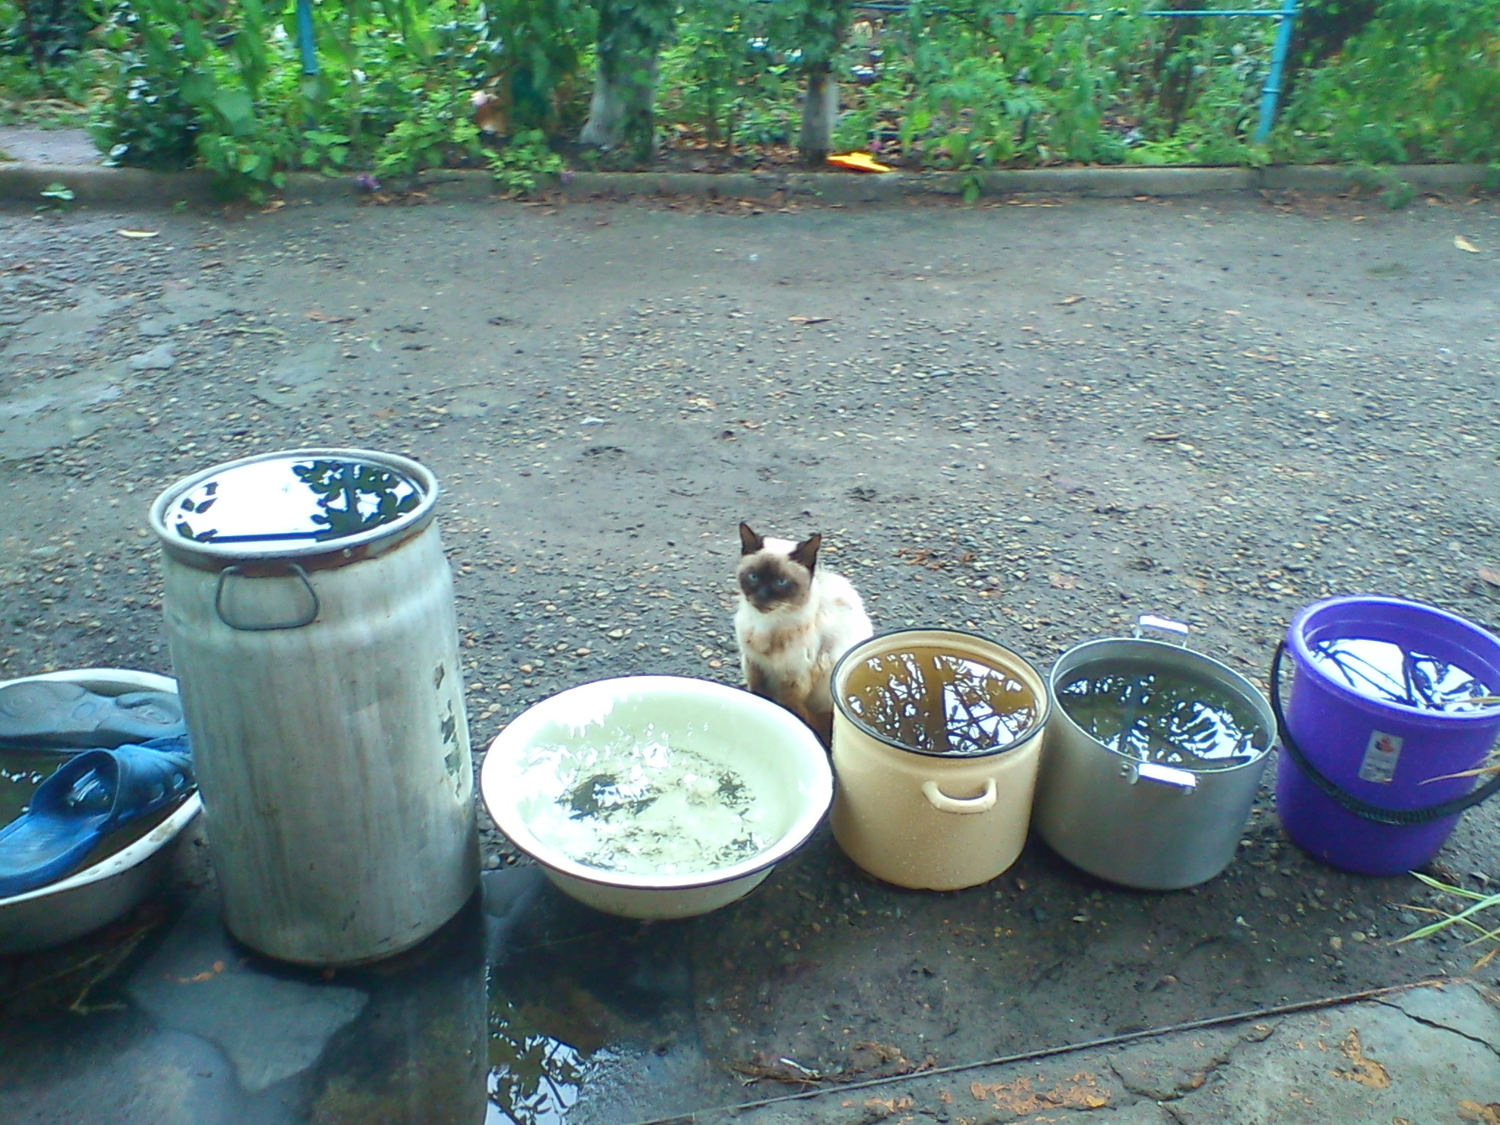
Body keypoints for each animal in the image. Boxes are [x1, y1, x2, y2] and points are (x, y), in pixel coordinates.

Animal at [735, 528, 876, 750]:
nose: (762, 598)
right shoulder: (754, 667)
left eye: (781, 582)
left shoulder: (793, 679)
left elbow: (791, 711)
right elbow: (758, 696)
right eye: (753, 577)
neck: (766, 626)